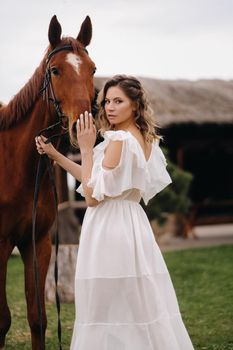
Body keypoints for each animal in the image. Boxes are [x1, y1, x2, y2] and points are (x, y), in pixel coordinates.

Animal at [0, 15, 95, 348]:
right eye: (55, 70)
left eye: (93, 69)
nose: (82, 127)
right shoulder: (1, 246)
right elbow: (2, 320)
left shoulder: (37, 243)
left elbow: (38, 318)